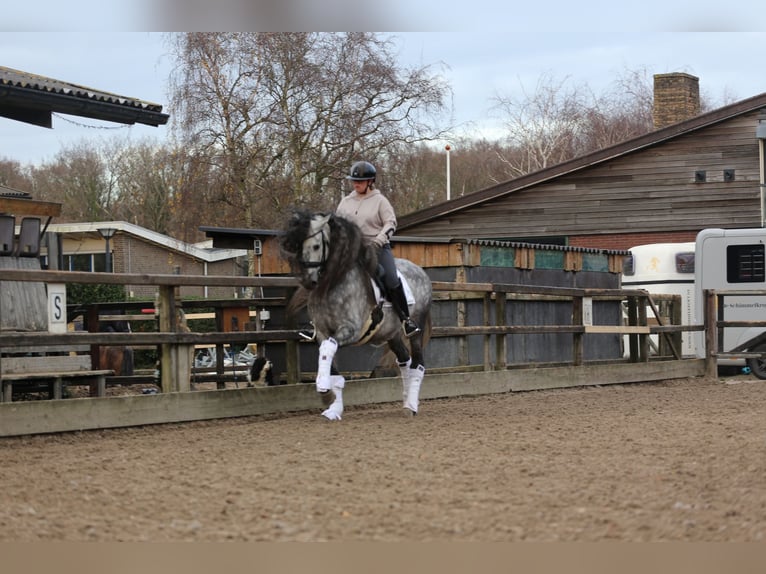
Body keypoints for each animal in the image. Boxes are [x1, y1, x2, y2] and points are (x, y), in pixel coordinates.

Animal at [280, 209, 432, 420]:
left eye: (316, 245)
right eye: (299, 246)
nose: (308, 281)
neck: (333, 284)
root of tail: (421, 272)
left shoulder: (350, 331)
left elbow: (328, 349)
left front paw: (325, 393)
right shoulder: (323, 332)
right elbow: (329, 361)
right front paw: (333, 407)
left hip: (416, 329)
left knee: (417, 364)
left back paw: (411, 406)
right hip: (392, 334)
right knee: (404, 361)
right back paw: (406, 400)